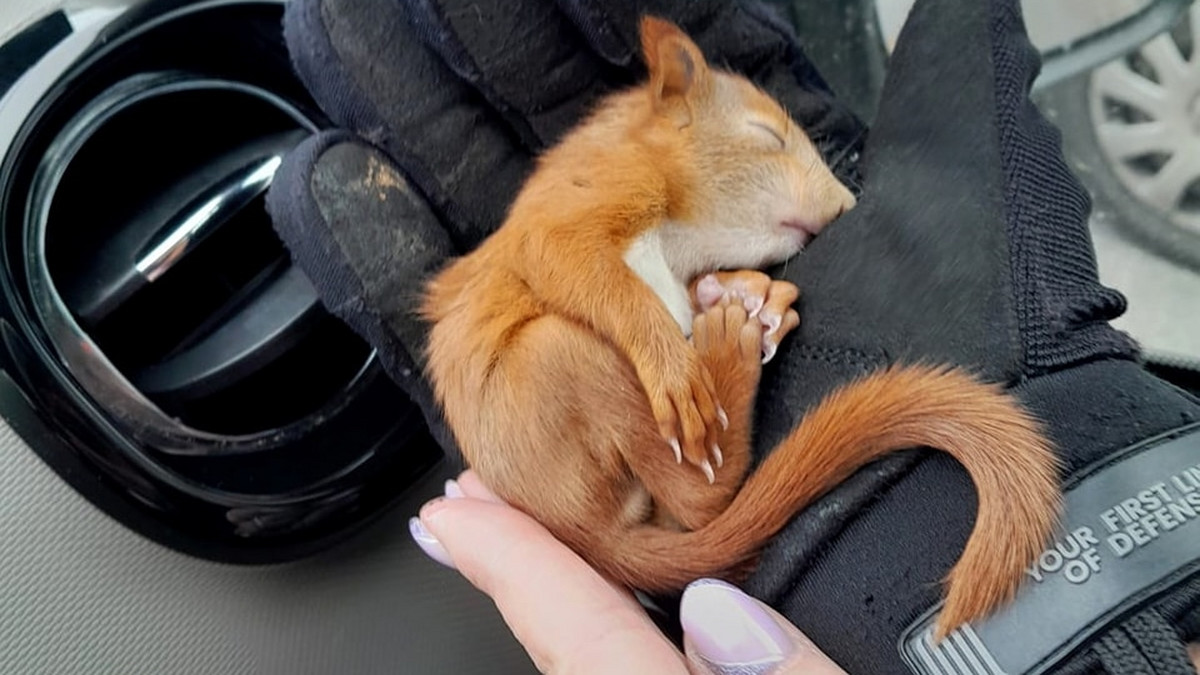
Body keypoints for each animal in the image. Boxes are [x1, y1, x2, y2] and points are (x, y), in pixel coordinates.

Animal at [422, 15, 1060, 634]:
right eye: (768, 137)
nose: (843, 209)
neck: (674, 232)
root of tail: (586, 535)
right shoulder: (579, 207)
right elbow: (588, 274)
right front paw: (676, 368)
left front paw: (751, 292)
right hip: (557, 359)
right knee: (700, 497)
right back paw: (725, 349)